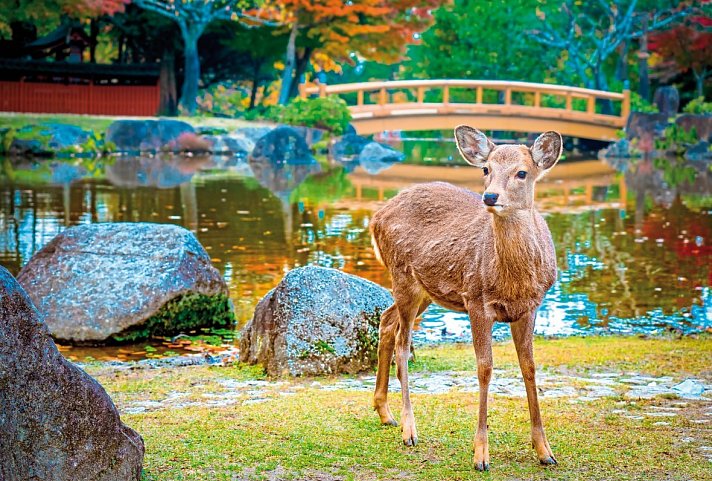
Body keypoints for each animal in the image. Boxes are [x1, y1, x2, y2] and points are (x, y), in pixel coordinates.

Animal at [368, 124, 560, 468]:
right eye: (486, 169)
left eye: (522, 172)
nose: (490, 196)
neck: (513, 281)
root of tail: (375, 218)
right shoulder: (476, 300)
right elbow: (485, 368)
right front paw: (481, 454)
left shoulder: (531, 306)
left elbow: (529, 367)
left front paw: (545, 451)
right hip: (402, 276)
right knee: (403, 345)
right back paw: (409, 429)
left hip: (424, 291)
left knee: (387, 321)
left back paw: (385, 412)